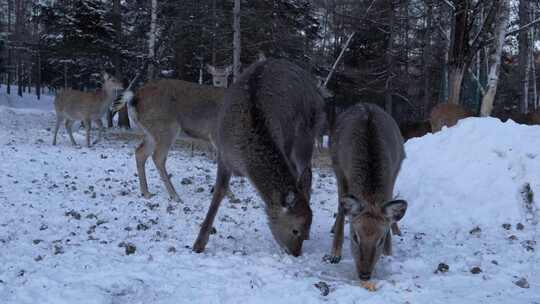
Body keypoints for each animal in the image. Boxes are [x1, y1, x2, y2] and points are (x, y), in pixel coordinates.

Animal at [192, 58, 324, 255]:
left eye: (307, 228)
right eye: (295, 230)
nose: (296, 253)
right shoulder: (222, 155)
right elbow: (219, 191)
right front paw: (199, 243)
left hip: (307, 136)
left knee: (307, 172)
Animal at [326, 103, 408, 282]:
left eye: (381, 239)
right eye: (355, 236)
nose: (364, 274)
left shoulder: (391, 176)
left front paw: (388, 253)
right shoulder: (340, 171)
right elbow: (342, 210)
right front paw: (334, 254)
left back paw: (397, 230)